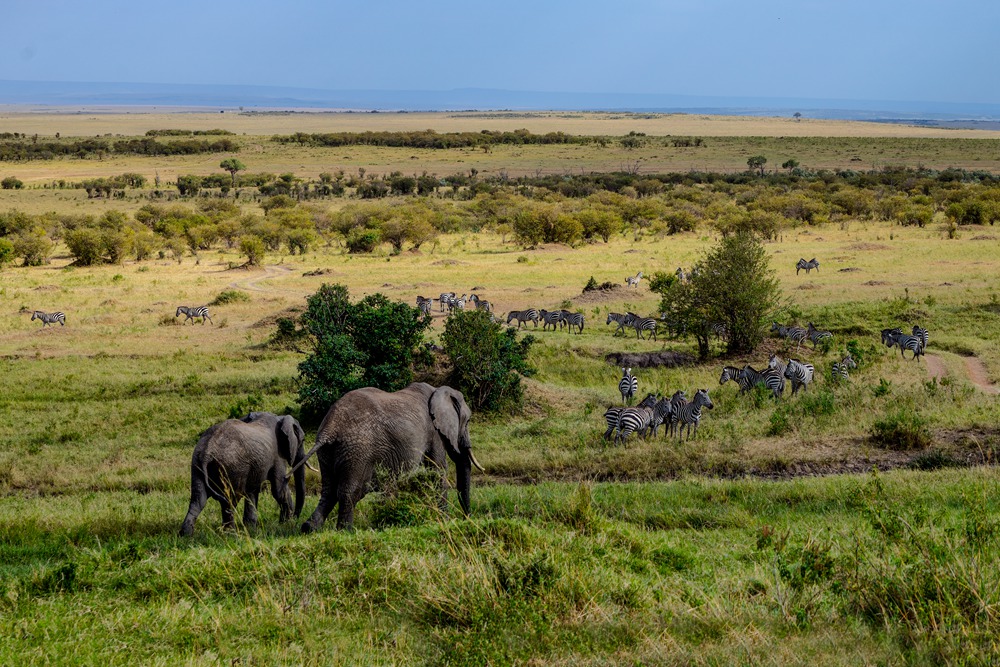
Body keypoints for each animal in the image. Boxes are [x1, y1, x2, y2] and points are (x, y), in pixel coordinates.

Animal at [178, 412, 306, 536]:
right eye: (303, 440)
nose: (296, 518)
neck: (280, 417)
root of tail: (207, 451)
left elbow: (253, 491)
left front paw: (251, 529)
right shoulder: (278, 456)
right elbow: (278, 490)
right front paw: (287, 523)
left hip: (197, 463)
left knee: (198, 499)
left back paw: (186, 535)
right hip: (233, 466)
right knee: (230, 500)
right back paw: (232, 535)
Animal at [296, 384, 484, 536]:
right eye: (467, 421)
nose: (467, 517)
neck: (439, 391)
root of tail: (330, 428)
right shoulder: (434, 433)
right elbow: (437, 470)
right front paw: (444, 520)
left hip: (328, 453)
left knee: (329, 490)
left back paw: (309, 528)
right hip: (358, 450)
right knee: (350, 491)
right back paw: (345, 531)